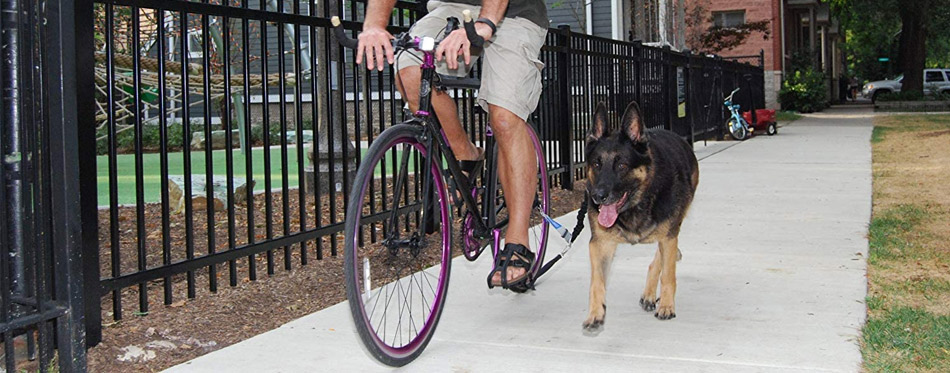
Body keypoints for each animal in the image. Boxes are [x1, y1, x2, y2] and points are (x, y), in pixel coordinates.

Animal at [580, 100, 700, 330]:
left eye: (622, 165)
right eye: (596, 164)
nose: (598, 196)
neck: (635, 205)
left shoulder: (669, 235)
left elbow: (668, 275)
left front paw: (667, 306)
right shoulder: (600, 244)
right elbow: (597, 282)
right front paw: (595, 313)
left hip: (672, 228)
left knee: (662, 259)